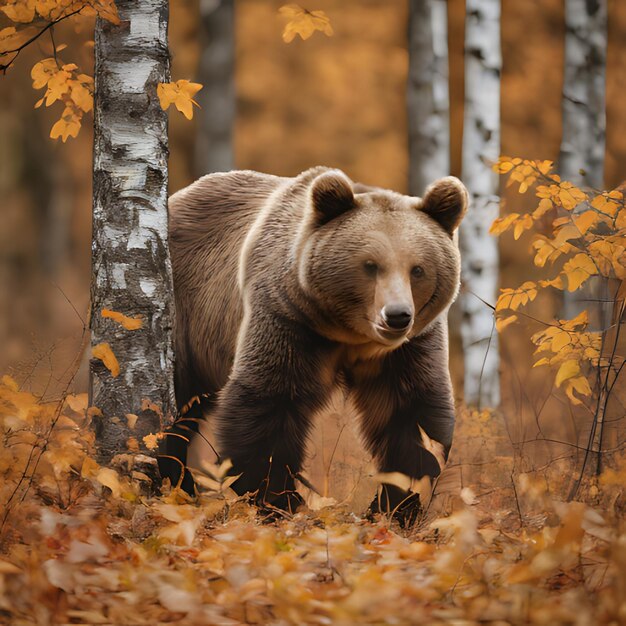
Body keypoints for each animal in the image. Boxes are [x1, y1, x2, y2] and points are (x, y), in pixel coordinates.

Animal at [161, 165, 464, 520]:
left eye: (417, 269)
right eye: (370, 265)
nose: (397, 315)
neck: (351, 334)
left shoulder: (409, 347)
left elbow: (412, 414)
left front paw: (398, 502)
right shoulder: (288, 319)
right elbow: (270, 400)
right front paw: (279, 499)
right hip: (188, 317)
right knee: (179, 405)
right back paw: (175, 481)